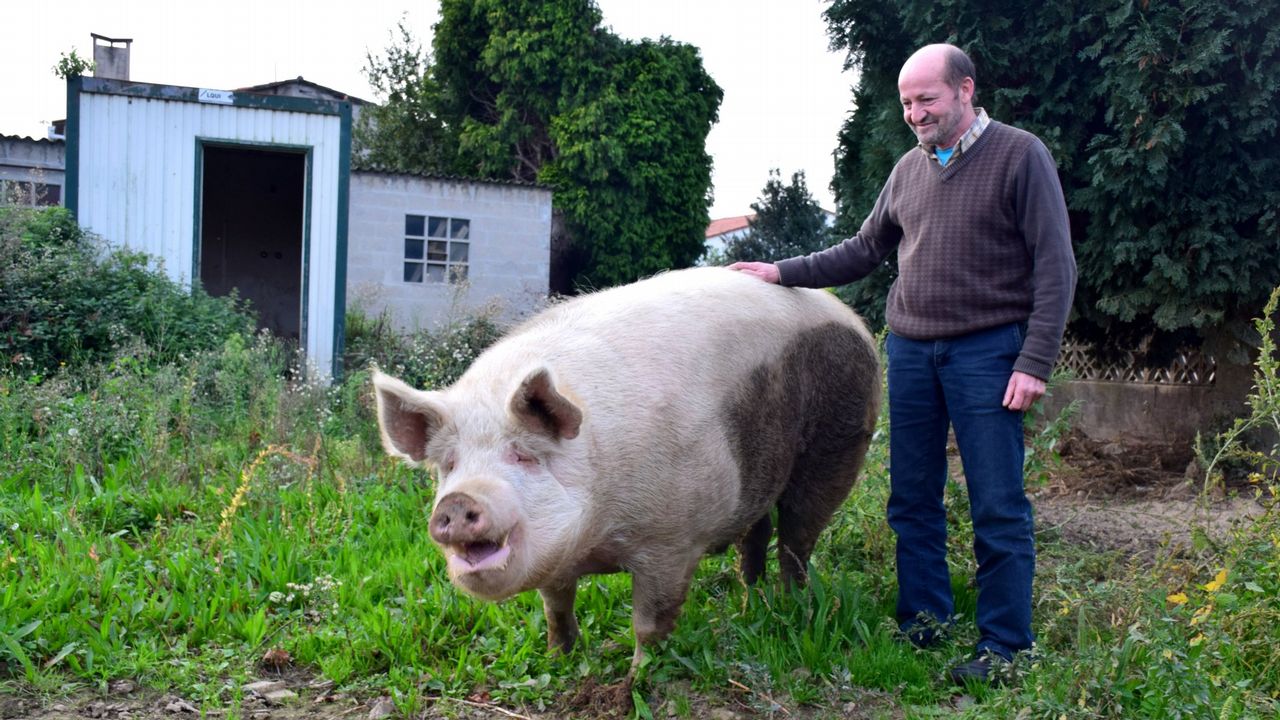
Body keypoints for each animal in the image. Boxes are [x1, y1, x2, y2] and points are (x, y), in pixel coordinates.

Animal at [371, 265, 880, 676]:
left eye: (523, 455)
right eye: (449, 465)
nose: (459, 502)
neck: (599, 537)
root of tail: (846, 313)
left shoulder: (672, 543)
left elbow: (649, 622)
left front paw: (635, 678)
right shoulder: (560, 557)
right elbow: (555, 607)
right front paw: (557, 659)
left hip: (839, 442)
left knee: (797, 537)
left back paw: (790, 607)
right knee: (757, 532)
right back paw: (748, 601)